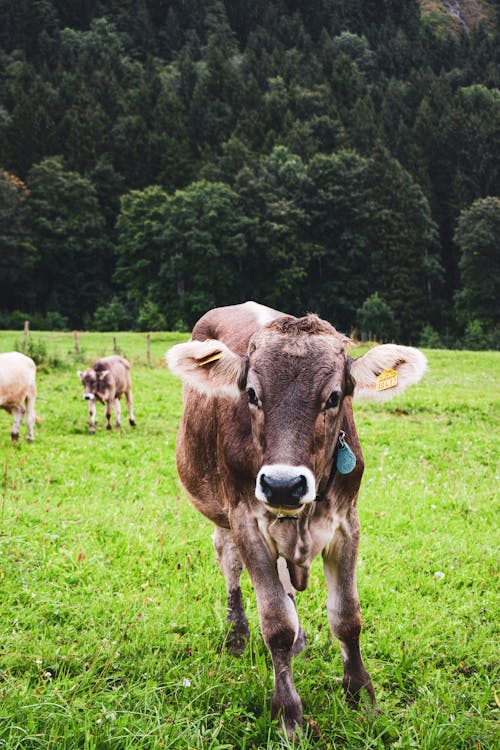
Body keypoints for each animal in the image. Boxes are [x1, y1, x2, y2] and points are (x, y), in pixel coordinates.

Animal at [167, 304, 426, 740]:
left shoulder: (346, 524)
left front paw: (362, 697)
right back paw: (237, 634)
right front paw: (288, 715)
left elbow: (347, 617)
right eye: (252, 394)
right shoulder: (246, 521)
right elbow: (276, 625)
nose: (283, 484)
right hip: (220, 511)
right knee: (228, 561)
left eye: (334, 396)